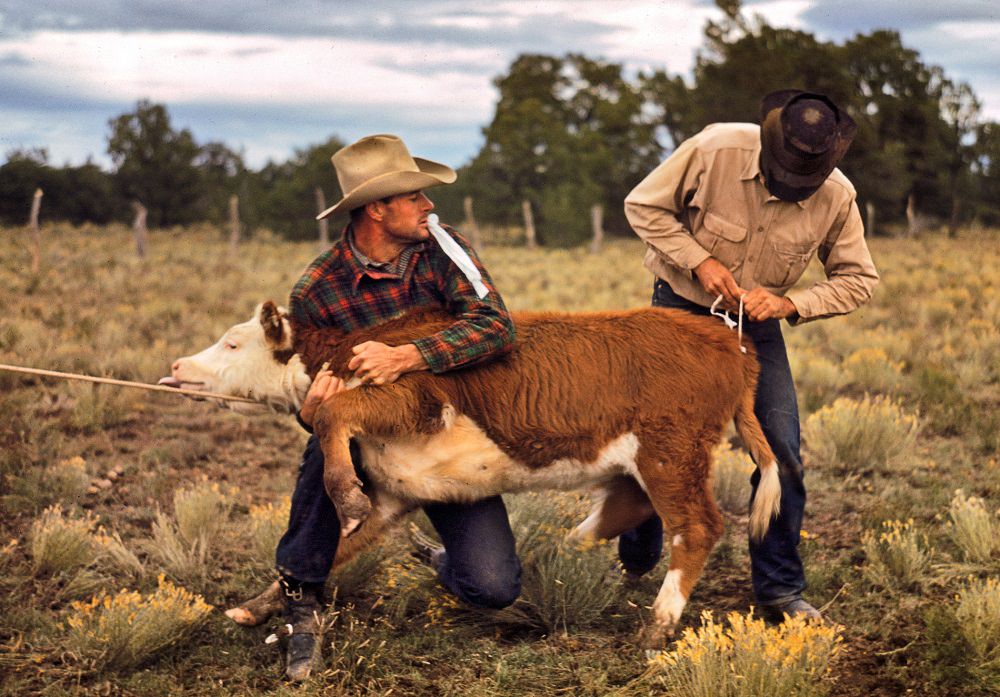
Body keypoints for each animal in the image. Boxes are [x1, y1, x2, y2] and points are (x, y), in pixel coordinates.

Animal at [161, 301, 780, 646]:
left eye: (233, 342)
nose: (176, 365)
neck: (344, 352)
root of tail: (731, 343)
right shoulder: (395, 491)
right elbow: (339, 546)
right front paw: (258, 604)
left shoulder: (411, 399)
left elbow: (332, 414)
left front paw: (345, 497)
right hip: (646, 460)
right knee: (625, 509)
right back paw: (559, 556)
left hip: (671, 452)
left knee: (697, 527)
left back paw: (657, 623)